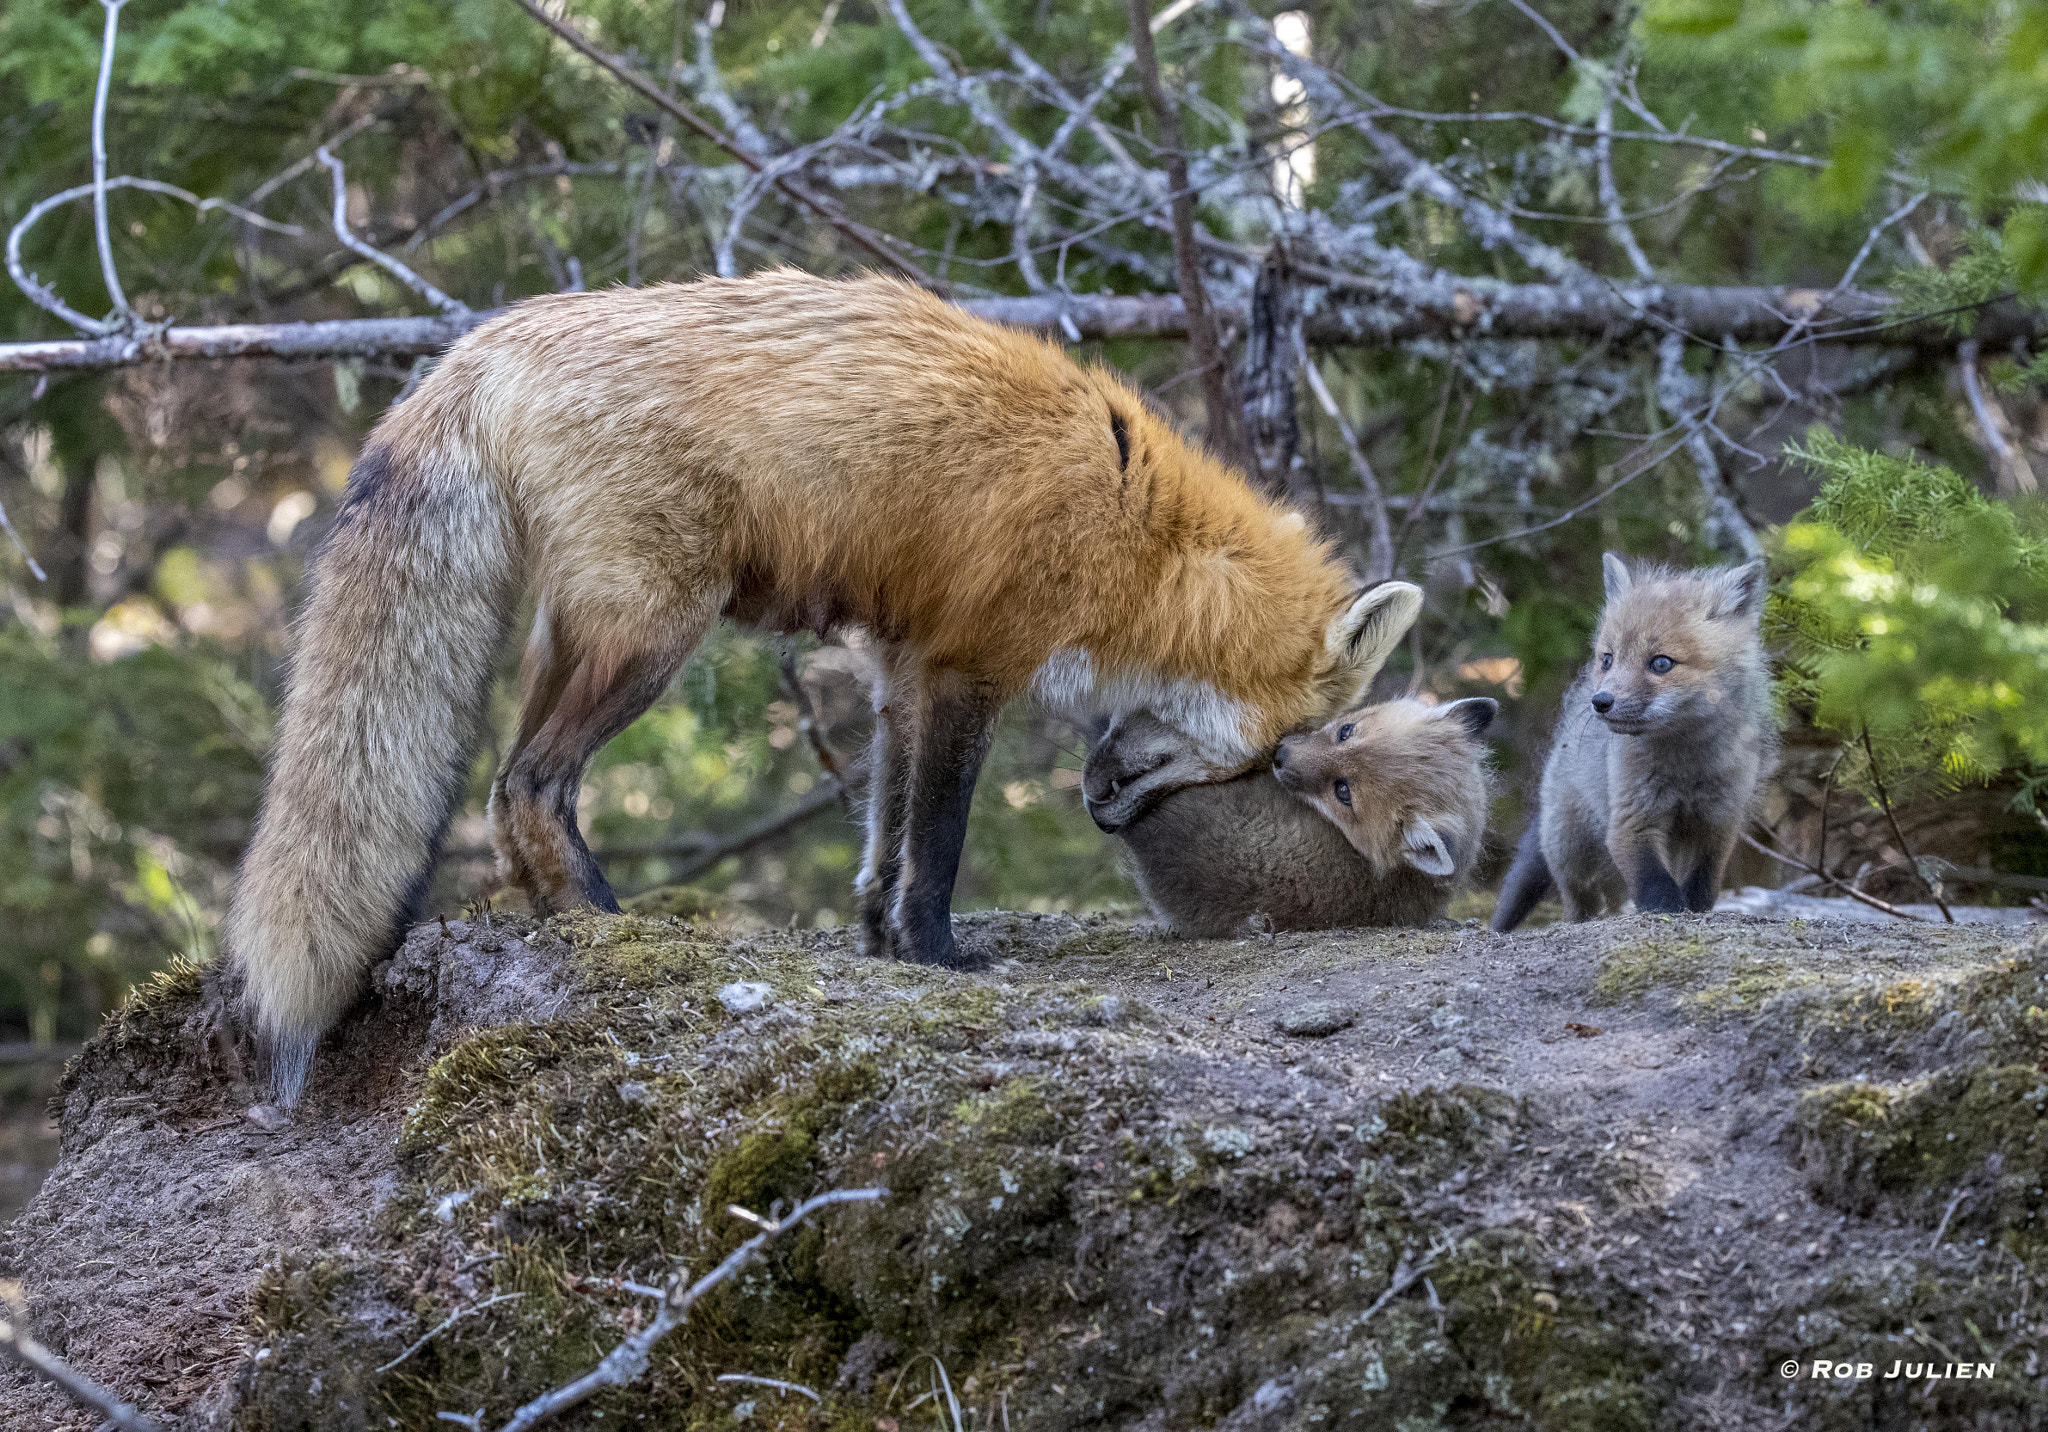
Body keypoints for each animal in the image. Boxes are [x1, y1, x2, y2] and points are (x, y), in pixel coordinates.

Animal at [228, 266, 1409, 1098]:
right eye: (1268, 758)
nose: (1100, 803)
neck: (1138, 527)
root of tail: (491, 336)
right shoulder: (969, 663)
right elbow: (938, 842)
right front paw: (937, 956)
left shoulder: (898, 668)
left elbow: (882, 835)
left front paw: (881, 945)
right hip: (653, 633)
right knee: (528, 783)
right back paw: (612, 926)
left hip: (580, 635)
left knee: (507, 791)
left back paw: (565, 918)